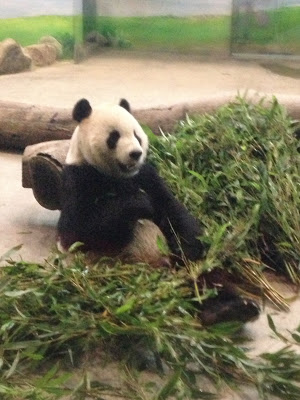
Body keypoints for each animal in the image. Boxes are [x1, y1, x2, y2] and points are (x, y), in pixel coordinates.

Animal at [57, 97, 258, 324]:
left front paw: (188, 248)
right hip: (109, 279)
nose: (135, 154)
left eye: (136, 134)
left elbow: (173, 211)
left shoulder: (147, 175)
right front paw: (140, 203)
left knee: (206, 278)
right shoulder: (78, 179)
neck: (117, 176)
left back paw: (231, 309)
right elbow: (80, 229)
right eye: (114, 137)